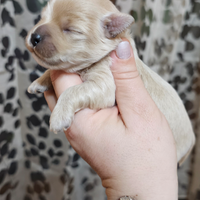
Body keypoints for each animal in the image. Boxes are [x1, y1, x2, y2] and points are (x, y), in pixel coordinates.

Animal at [25, 0, 195, 164]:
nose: (34, 37)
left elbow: (71, 91)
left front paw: (59, 116)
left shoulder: (104, 83)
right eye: (42, 18)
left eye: (71, 30)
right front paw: (39, 82)